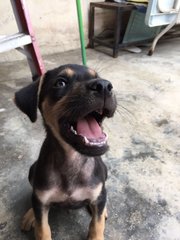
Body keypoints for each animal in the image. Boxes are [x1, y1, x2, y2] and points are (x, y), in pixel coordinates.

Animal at [14, 64, 117, 240]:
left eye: (97, 77)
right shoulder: (41, 201)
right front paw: (35, 219)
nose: (104, 85)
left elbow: (96, 225)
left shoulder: (97, 194)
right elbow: (42, 229)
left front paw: (98, 224)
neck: (72, 159)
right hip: (32, 171)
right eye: (60, 83)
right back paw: (30, 215)